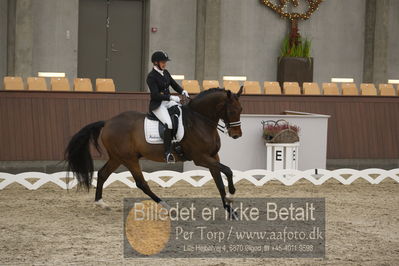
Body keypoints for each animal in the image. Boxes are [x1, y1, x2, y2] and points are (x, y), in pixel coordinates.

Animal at [65, 87, 244, 216]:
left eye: (241, 109)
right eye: (232, 111)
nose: (237, 135)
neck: (200, 121)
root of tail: (108, 122)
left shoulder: (213, 156)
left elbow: (219, 181)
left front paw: (230, 210)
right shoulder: (200, 158)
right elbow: (228, 171)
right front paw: (232, 195)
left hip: (117, 158)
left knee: (102, 174)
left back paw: (101, 203)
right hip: (129, 158)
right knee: (141, 183)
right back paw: (168, 207)